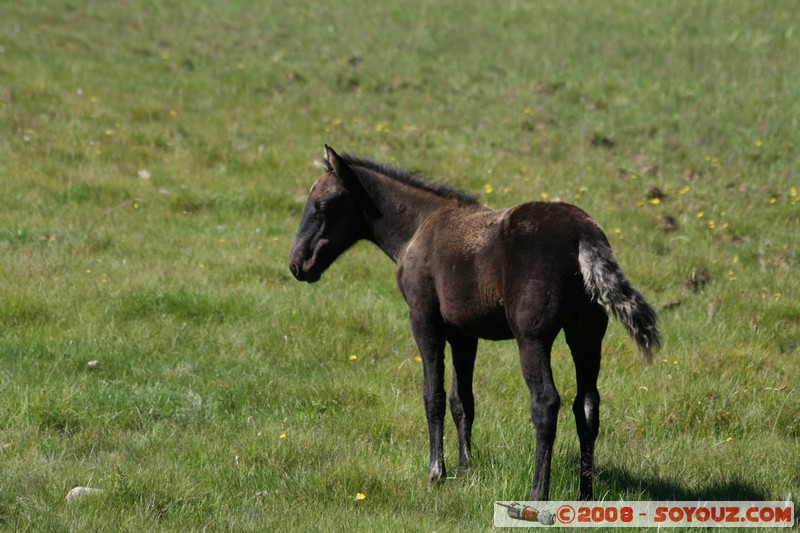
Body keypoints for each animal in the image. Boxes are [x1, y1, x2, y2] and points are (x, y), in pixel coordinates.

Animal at [289, 145, 660, 500]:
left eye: (321, 207)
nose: (297, 265)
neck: (419, 227)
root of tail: (583, 235)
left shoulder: (424, 320)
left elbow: (434, 396)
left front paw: (436, 472)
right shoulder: (464, 335)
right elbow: (462, 400)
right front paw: (465, 467)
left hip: (532, 338)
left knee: (546, 403)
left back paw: (537, 493)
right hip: (586, 336)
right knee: (587, 406)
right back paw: (586, 494)